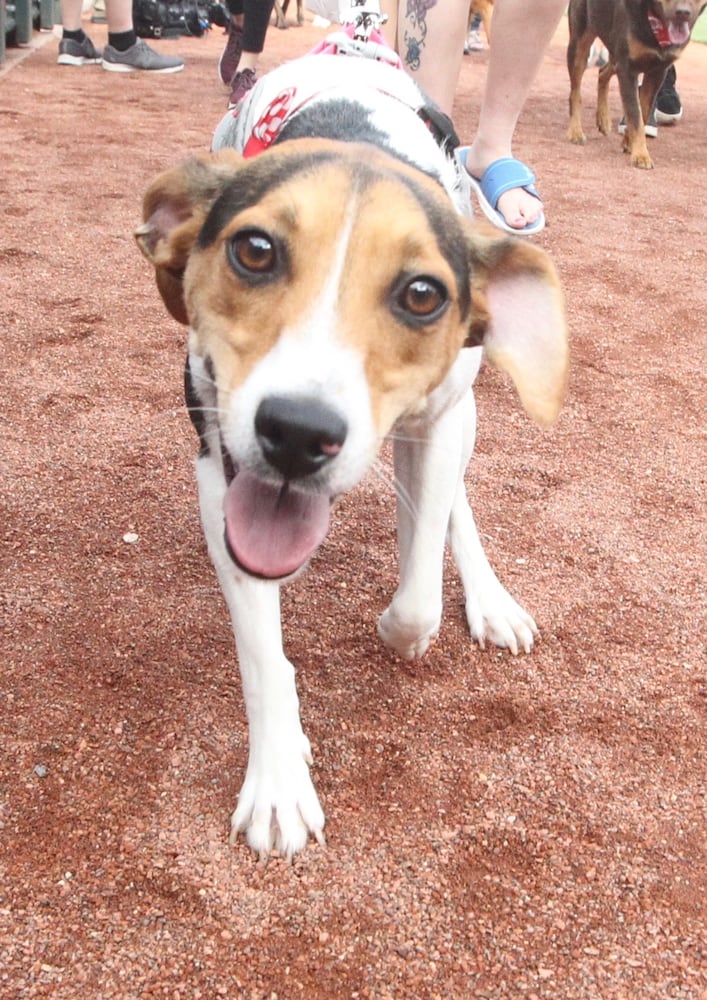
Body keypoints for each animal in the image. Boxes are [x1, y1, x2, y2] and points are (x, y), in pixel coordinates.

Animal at [137, 23, 568, 860]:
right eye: (254, 250)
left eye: (423, 294)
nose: (297, 433)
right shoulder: (219, 463)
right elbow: (263, 654)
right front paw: (279, 778)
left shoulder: (434, 427)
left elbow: (417, 601)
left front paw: (406, 625)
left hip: (463, 413)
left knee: (457, 508)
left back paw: (490, 599)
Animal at [568, 0, 707, 168]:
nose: (683, 12)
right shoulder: (627, 69)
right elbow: (635, 114)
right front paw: (641, 155)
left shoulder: (657, 71)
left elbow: (644, 111)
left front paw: (629, 143)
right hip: (580, 43)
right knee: (575, 91)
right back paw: (576, 131)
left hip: (614, 53)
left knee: (602, 73)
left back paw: (603, 119)